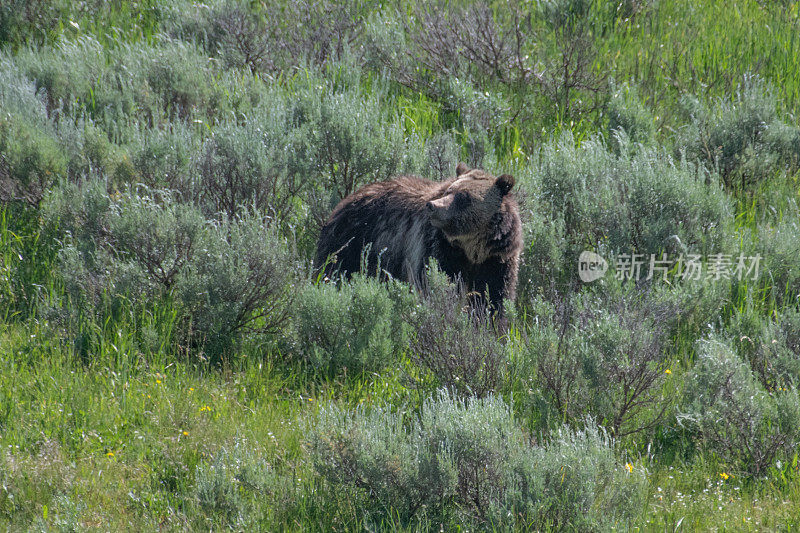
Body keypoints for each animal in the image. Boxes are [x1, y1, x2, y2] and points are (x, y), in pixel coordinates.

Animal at [312, 160, 524, 314]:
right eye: (449, 190)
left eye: (464, 197)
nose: (433, 206)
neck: (470, 248)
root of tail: (345, 201)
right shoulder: (436, 250)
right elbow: (438, 285)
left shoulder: (497, 259)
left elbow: (493, 297)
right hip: (352, 244)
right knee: (336, 271)